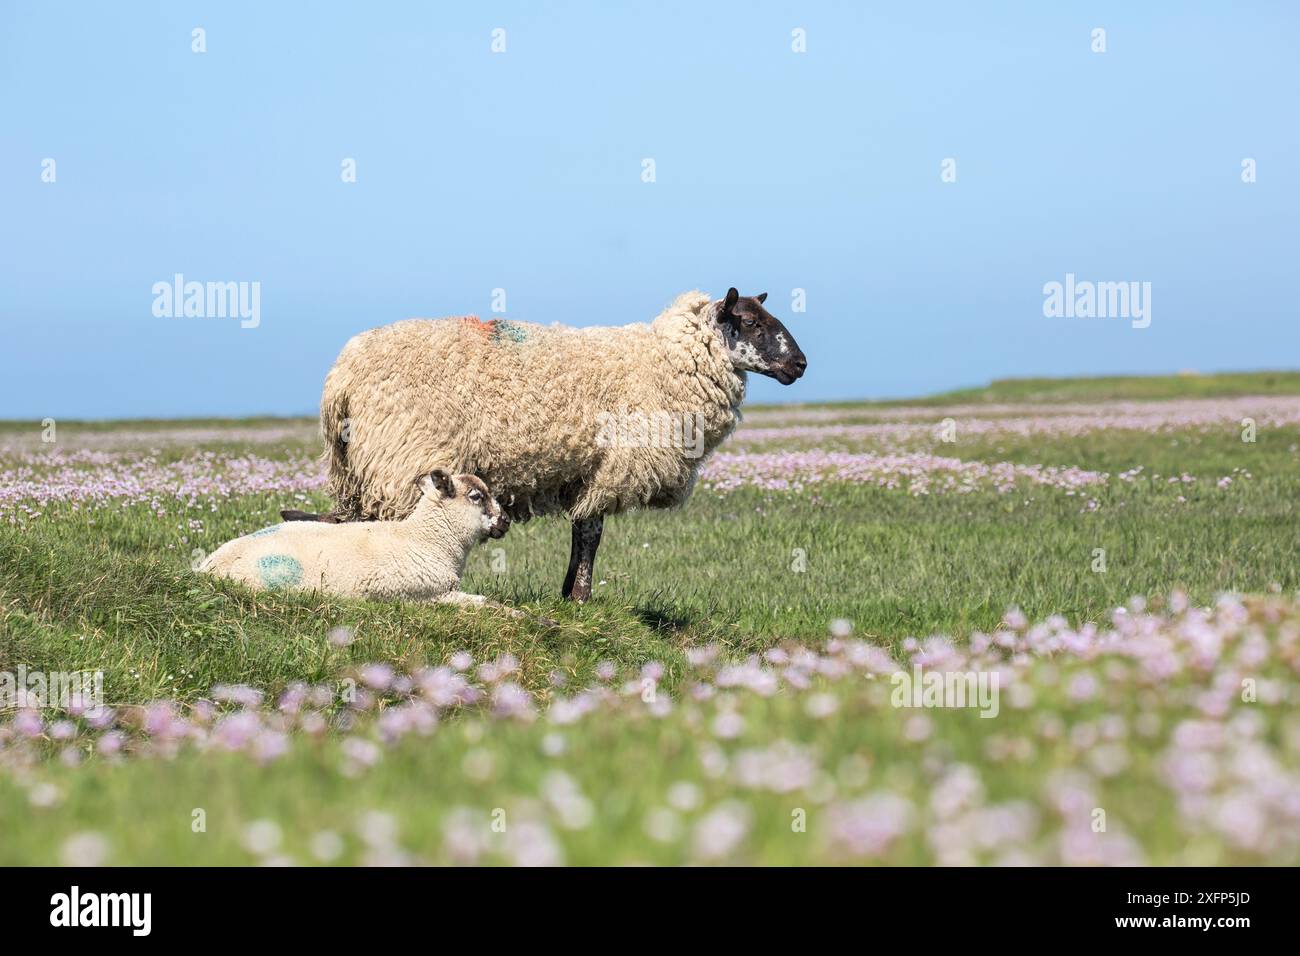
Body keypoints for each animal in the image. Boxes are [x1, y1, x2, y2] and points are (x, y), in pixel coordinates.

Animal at [200, 470, 509, 613]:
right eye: (476, 496)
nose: (506, 520)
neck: (427, 538)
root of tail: (205, 567)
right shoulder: (430, 595)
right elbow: (487, 603)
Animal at [287, 287, 800, 600]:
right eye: (751, 323)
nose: (801, 364)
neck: (661, 362)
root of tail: (341, 376)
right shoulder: (609, 468)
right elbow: (591, 534)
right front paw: (582, 598)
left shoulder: (586, 471)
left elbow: (583, 532)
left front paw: (568, 594)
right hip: (401, 457)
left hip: (361, 465)